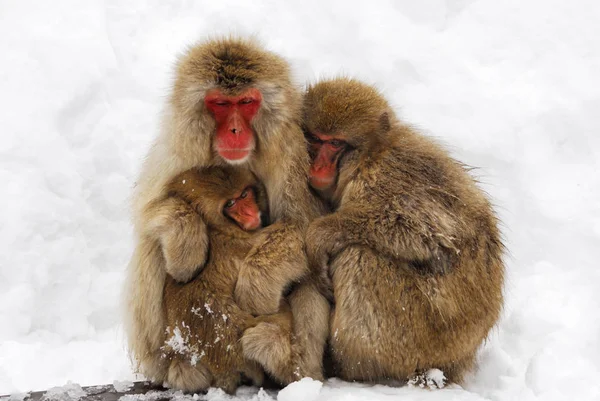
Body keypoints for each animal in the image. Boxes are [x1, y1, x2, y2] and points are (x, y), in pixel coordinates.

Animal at [241, 78, 504, 384]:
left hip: (422, 339)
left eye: (335, 143)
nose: (317, 165)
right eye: (316, 139)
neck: (368, 157)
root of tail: (463, 356)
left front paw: (320, 235)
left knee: (358, 257)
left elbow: (422, 230)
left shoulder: (385, 176)